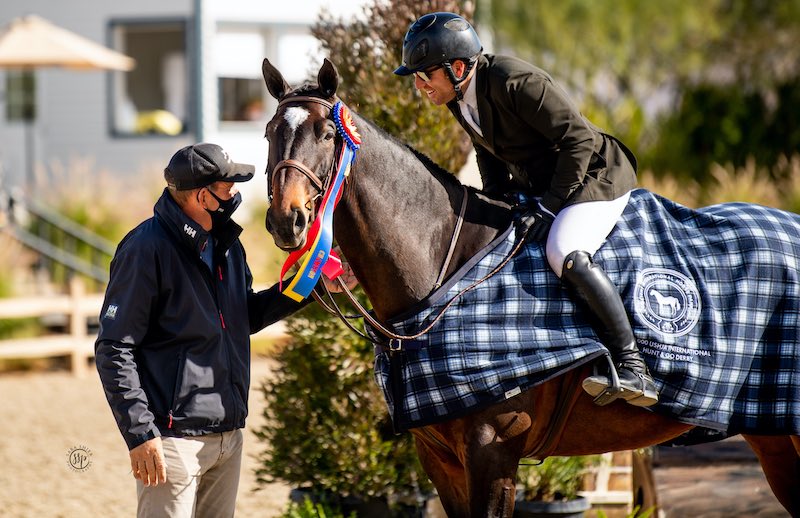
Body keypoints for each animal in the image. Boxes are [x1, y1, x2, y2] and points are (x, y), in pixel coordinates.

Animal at [262, 58, 800, 518]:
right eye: (270, 133)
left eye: (326, 134)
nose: (287, 222)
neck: (446, 273)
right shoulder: (440, 458)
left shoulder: (493, 449)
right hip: (774, 438)